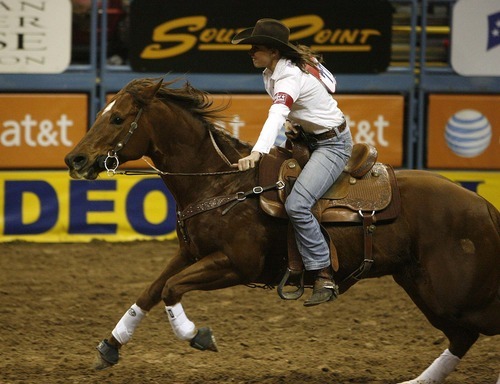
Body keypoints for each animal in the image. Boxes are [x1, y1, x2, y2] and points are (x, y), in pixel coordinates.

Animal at [64, 79, 498, 384]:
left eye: (118, 118)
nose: (75, 159)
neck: (221, 183)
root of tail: (481, 204)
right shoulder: (189, 253)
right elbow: (150, 291)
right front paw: (110, 347)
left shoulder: (236, 264)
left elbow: (171, 289)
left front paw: (197, 335)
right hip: (422, 286)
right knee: (461, 337)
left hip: (453, 292)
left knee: (473, 329)